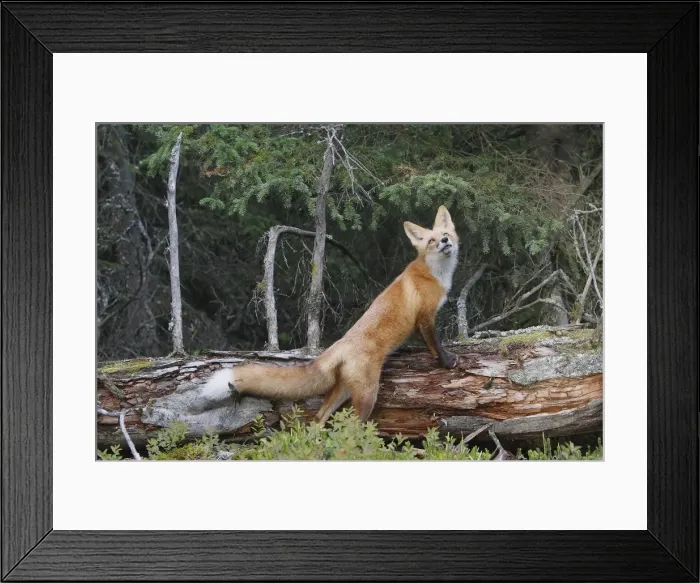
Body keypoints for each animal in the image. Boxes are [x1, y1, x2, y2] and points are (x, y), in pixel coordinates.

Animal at [202, 205, 460, 425]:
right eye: (431, 240)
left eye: (446, 233)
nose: (445, 241)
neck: (435, 274)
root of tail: (339, 344)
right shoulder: (425, 316)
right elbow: (435, 344)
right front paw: (447, 362)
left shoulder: (423, 319)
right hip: (368, 395)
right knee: (350, 429)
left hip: (343, 391)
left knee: (319, 419)